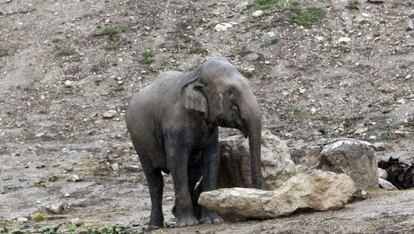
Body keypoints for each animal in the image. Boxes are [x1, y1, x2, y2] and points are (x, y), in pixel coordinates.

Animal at [124, 56, 264, 229]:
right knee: (155, 180)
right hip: (139, 141)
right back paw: (155, 226)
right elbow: (176, 161)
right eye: (231, 92)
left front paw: (212, 220)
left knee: (192, 172)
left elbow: (211, 159)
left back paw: (175, 213)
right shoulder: (174, 124)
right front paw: (187, 224)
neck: (194, 75)